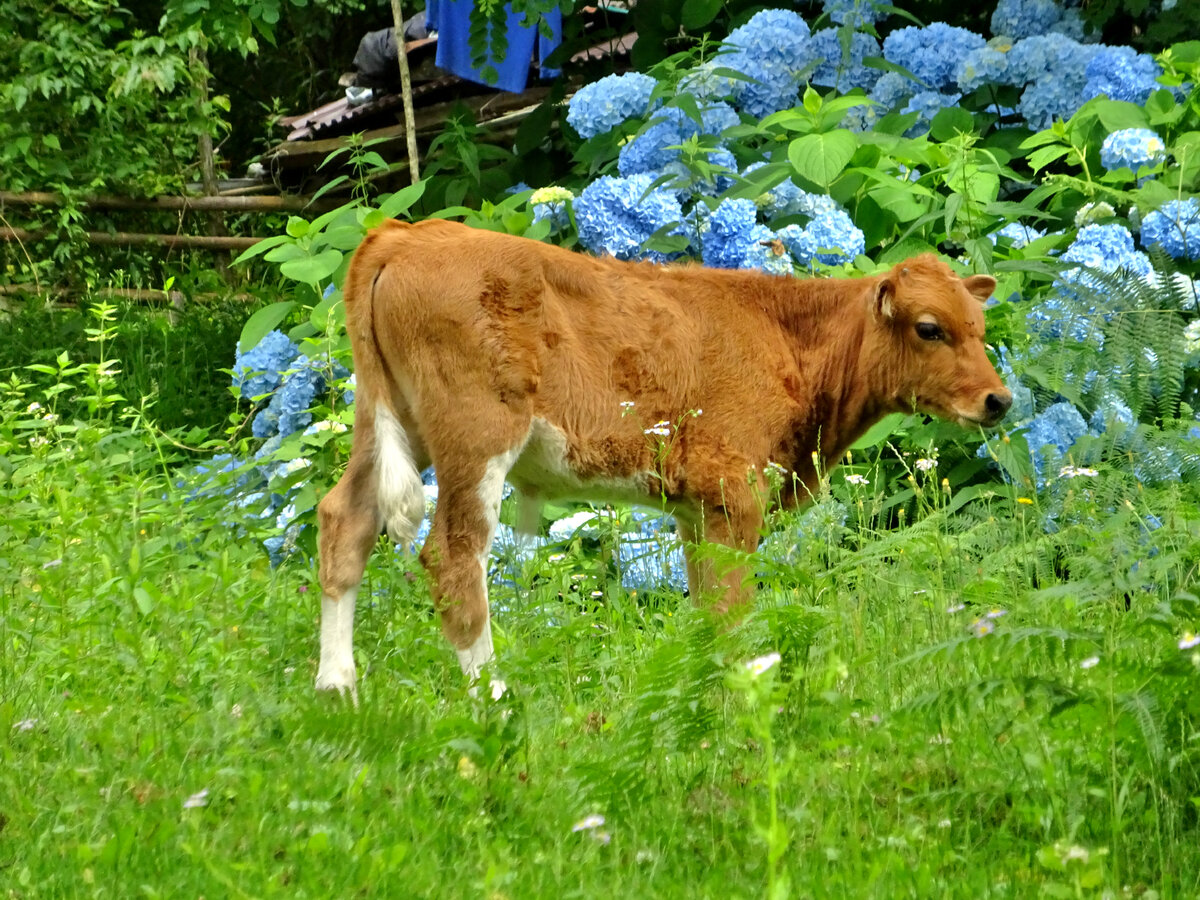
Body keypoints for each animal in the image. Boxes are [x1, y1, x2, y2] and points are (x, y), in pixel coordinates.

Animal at [314, 222, 1008, 700]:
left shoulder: (695, 508)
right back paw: (495, 699)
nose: (999, 400)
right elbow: (731, 613)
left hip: (390, 421)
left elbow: (704, 612)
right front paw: (744, 698)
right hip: (474, 434)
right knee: (453, 556)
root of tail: (406, 233)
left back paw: (337, 692)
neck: (787, 338)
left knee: (344, 521)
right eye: (929, 327)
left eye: (978, 327)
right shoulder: (732, 494)